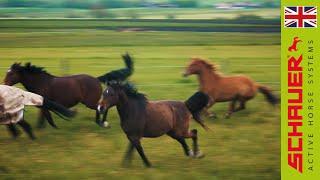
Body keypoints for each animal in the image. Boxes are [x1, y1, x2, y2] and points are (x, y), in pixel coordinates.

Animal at [3, 53, 134, 128]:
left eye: (11, 73)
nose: (4, 84)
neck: (40, 82)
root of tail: (96, 79)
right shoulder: (44, 105)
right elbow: (44, 117)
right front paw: (41, 128)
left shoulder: (45, 104)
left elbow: (47, 117)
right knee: (101, 108)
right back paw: (99, 122)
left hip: (90, 102)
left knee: (101, 108)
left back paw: (102, 123)